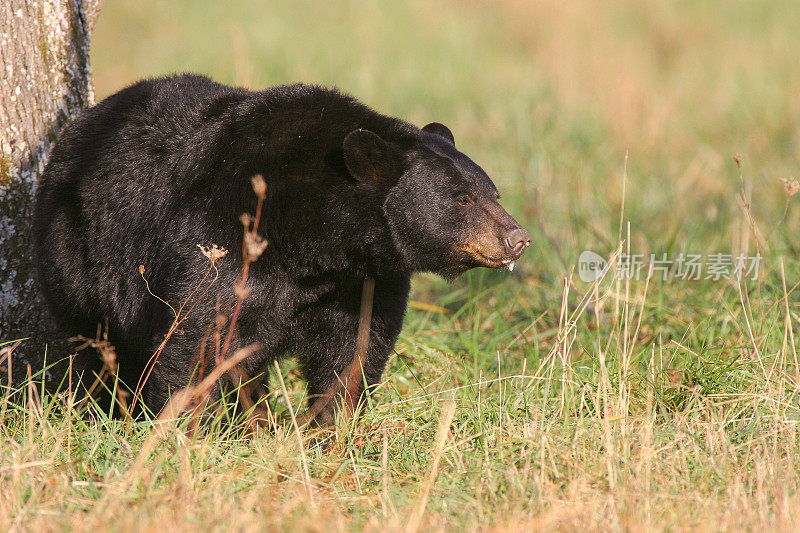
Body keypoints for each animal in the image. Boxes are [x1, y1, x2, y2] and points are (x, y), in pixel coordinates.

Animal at [32, 74, 532, 424]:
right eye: (463, 199)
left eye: (493, 193)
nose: (517, 238)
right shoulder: (222, 236)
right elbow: (194, 336)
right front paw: (181, 430)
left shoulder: (366, 279)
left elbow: (355, 349)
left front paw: (332, 428)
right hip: (78, 257)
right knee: (98, 345)